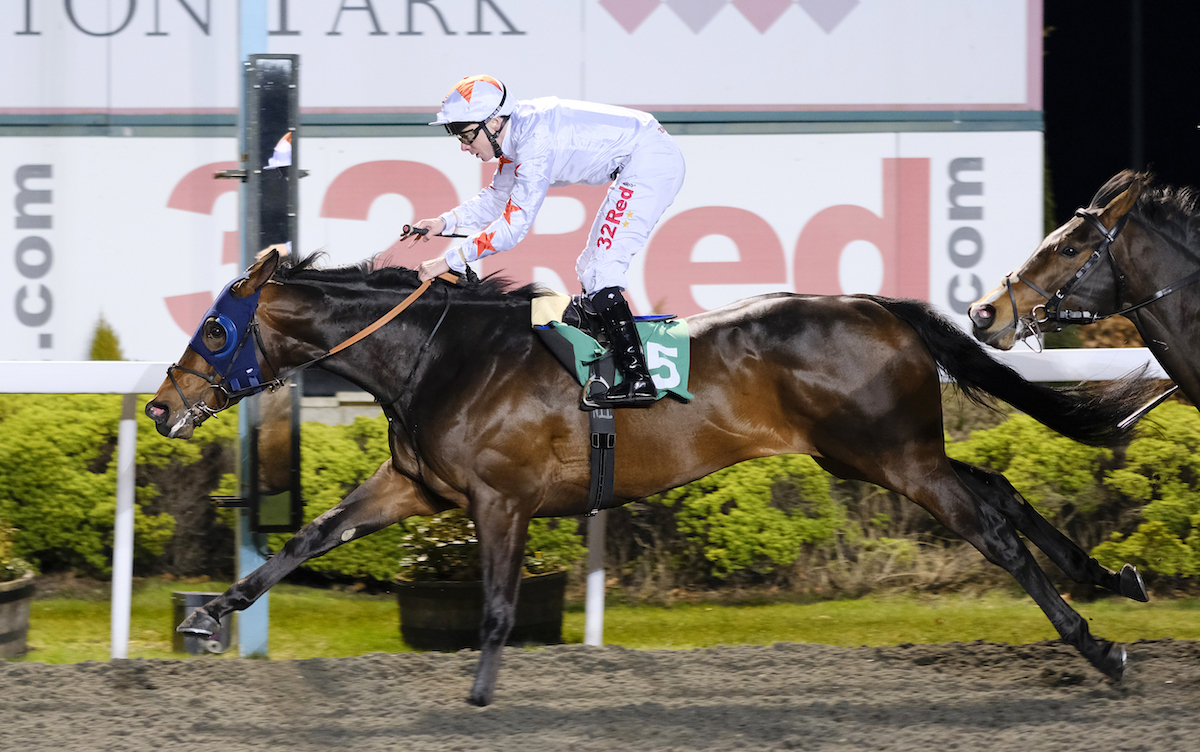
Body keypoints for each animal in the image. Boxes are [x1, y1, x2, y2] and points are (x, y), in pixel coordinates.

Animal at [145, 248, 1156, 705]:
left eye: (214, 330)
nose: (159, 409)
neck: (442, 355)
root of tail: (881, 306)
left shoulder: (500, 499)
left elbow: (500, 606)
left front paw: (477, 696)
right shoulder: (421, 487)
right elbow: (312, 537)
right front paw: (207, 615)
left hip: (894, 457)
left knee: (993, 533)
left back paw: (1100, 647)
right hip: (878, 453)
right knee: (999, 490)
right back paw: (1110, 575)